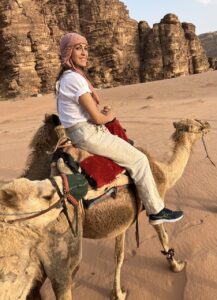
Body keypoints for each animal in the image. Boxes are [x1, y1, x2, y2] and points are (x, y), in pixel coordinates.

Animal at [22, 113, 210, 298]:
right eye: (196, 125)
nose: (208, 124)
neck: (165, 173)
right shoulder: (154, 201)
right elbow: (163, 235)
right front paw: (176, 265)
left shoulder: (123, 221)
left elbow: (118, 256)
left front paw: (117, 293)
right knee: (62, 283)